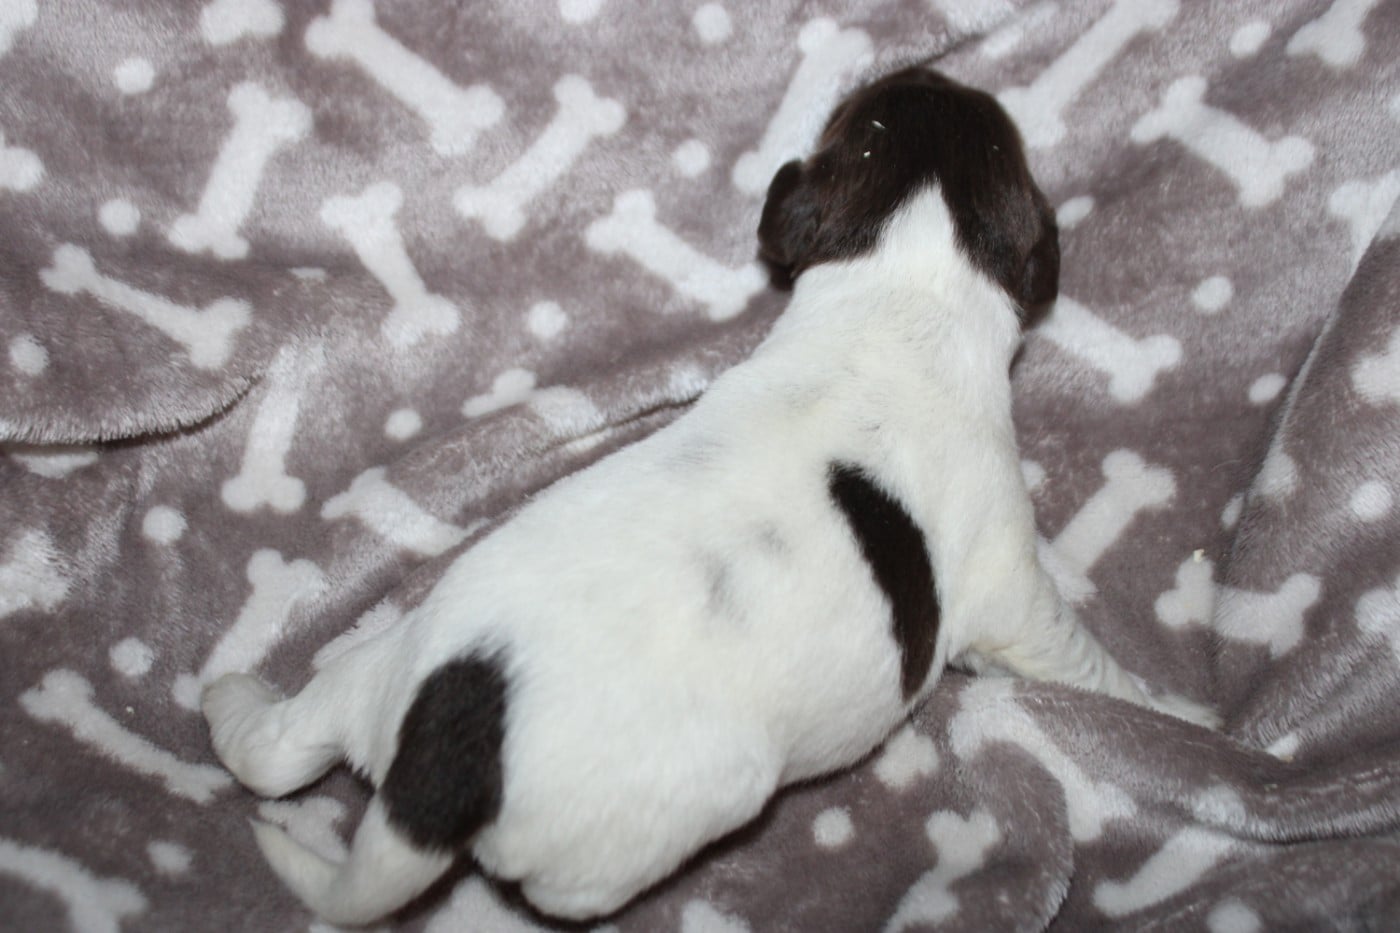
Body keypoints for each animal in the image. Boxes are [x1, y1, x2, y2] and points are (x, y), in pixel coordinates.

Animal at [202, 66, 1217, 926]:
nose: (931, 66)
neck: (899, 287)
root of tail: (445, 759)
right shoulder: (1011, 580)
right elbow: (1083, 660)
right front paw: (1184, 719)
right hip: (650, 825)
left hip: (384, 662)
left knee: (280, 747)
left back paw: (228, 699)